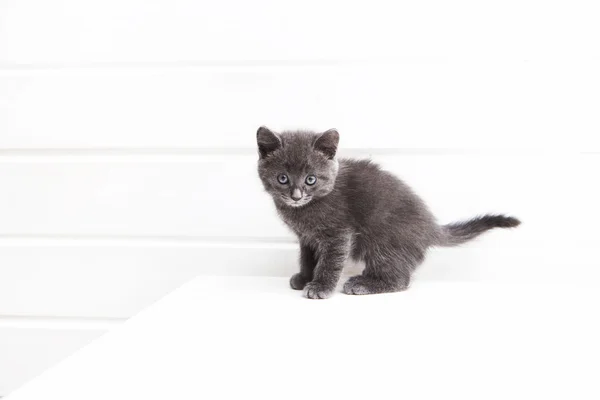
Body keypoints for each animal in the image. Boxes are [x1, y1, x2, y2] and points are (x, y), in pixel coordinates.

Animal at [255, 126, 516, 298]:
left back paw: (363, 284)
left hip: (384, 240)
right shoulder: (306, 237)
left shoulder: (338, 233)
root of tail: (430, 226)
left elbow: (330, 261)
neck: (306, 209)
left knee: (400, 279)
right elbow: (307, 257)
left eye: (311, 179)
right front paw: (305, 277)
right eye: (282, 178)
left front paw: (321, 287)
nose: (296, 196)